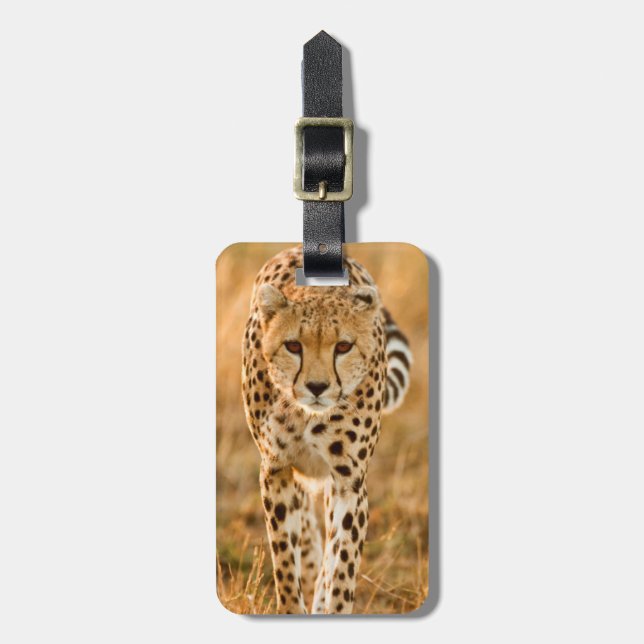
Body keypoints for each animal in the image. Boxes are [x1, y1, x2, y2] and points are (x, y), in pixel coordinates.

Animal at [241, 245, 412, 614]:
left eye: (343, 347)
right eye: (293, 346)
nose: (317, 387)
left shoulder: (349, 481)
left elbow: (342, 561)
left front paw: (332, 606)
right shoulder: (275, 468)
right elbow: (284, 558)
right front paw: (292, 606)